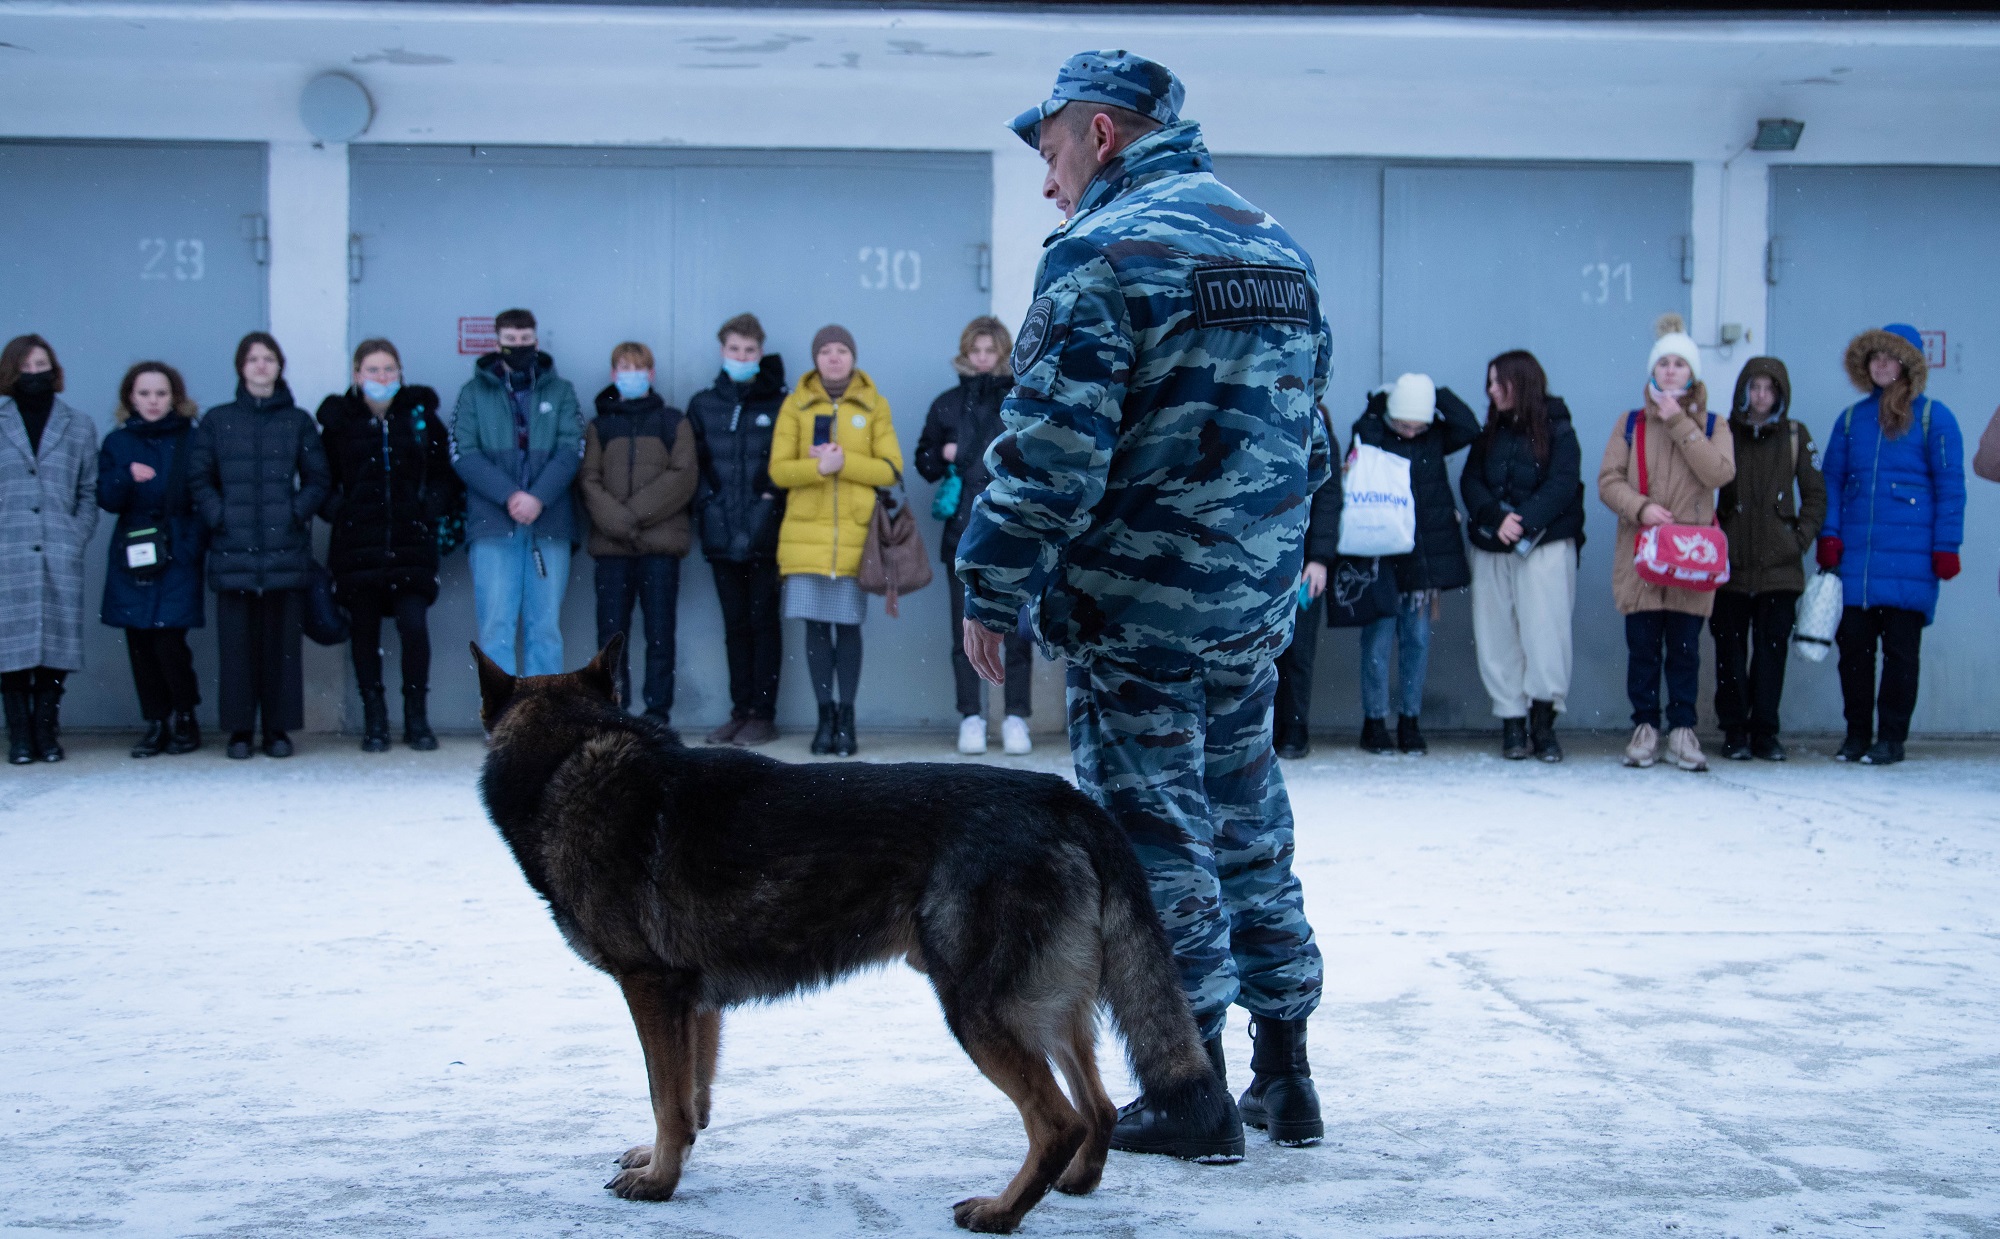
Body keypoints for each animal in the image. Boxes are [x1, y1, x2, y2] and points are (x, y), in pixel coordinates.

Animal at [476, 635, 1240, 1231]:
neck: (573, 756)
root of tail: (1061, 798)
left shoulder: (652, 989)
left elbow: (667, 1097)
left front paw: (659, 1183)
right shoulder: (696, 1004)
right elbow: (691, 1098)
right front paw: (667, 1158)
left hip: (979, 1012)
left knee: (1059, 1119)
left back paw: (1001, 1211)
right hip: (1046, 1010)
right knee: (1099, 1104)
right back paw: (1073, 1183)